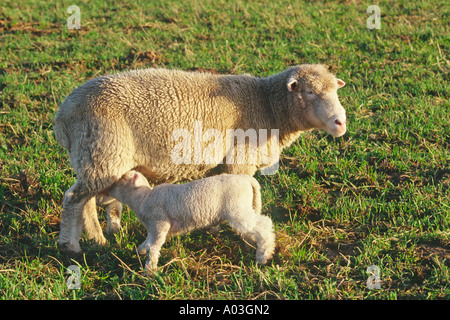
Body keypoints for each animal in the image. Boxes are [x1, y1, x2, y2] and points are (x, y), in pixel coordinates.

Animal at [53, 64, 348, 255]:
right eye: (309, 92)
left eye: (336, 90)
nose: (340, 122)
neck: (268, 107)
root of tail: (62, 116)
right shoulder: (241, 157)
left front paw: (213, 228)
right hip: (102, 151)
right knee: (74, 199)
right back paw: (75, 245)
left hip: (97, 156)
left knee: (90, 200)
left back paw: (103, 235)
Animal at [107, 170, 276, 270]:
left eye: (122, 178)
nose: (108, 188)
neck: (143, 199)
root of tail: (247, 179)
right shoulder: (152, 227)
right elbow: (148, 243)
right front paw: (140, 251)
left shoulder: (160, 223)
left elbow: (154, 247)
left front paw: (149, 271)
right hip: (245, 208)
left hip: (237, 210)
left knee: (264, 225)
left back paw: (264, 255)